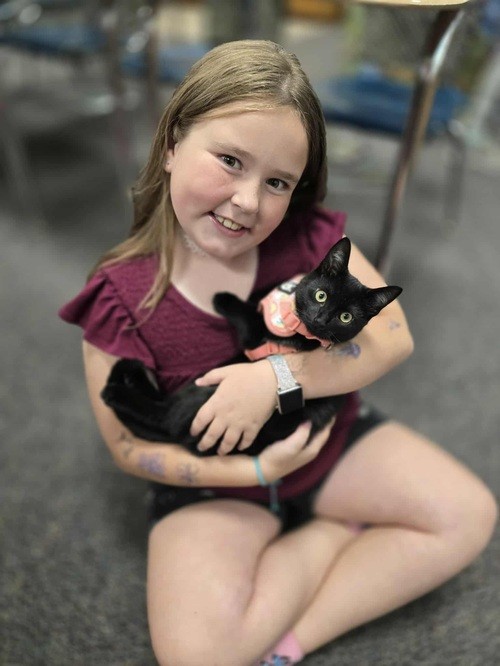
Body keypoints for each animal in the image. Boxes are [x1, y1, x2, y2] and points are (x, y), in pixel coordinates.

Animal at [101, 237, 402, 457]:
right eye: (321, 295)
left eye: (345, 317)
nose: (321, 319)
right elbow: (256, 302)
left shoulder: (256, 337)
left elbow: (248, 315)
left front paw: (222, 298)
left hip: (208, 390)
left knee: (163, 414)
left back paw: (116, 391)